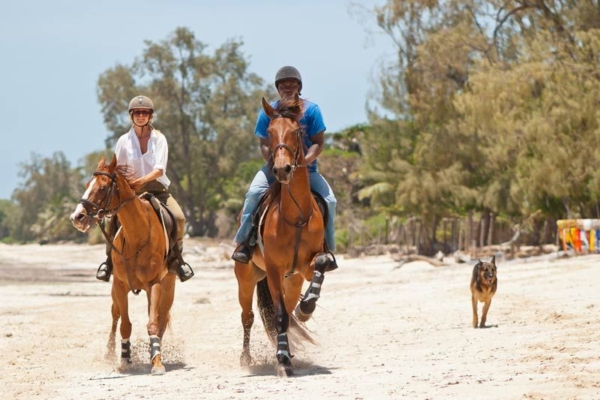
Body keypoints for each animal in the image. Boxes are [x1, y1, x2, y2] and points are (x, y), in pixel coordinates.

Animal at [69, 155, 176, 376]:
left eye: (102, 187)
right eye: (87, 185)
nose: (77, 217)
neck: (137, 237)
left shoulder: (155, 285)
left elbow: (154, 324)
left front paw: (157, 361)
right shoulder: (119, 286)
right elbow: (124, 325)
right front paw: (125, 359)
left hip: (168, 288)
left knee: (161, 318)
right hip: (115, 292)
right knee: (115, 315)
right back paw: (109, 353)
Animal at [233, 95, 330, 376]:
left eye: (296, 132)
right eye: (269, 132)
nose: (282, 169)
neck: (295, 216)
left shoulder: (306, 266)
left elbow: (321, 264)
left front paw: (307, 307)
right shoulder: (275, 270)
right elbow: (279, 317)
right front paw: (283, 362)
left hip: (292, 280)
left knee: (286, 309)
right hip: (246, 278)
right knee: (248, 317)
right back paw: (248, 358)